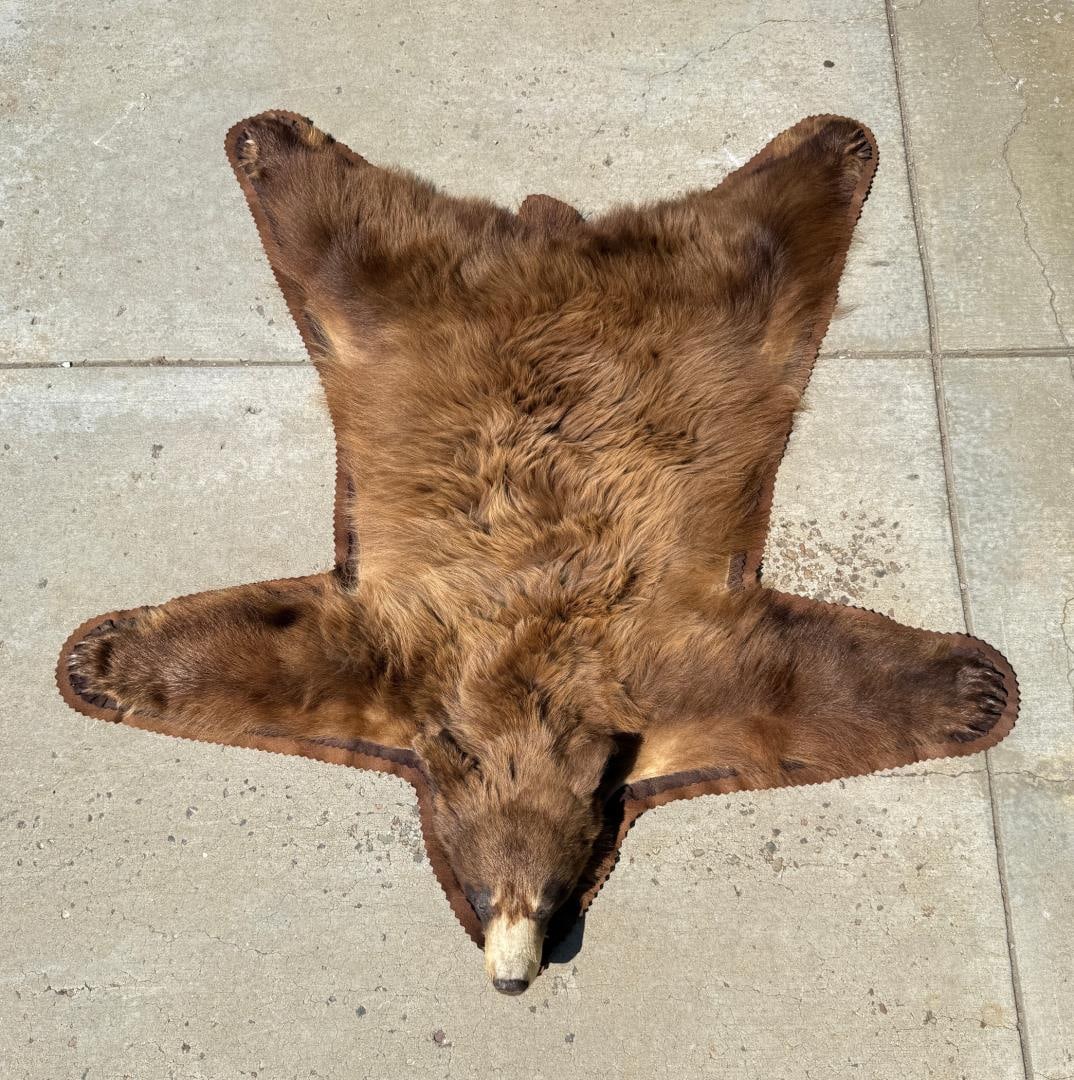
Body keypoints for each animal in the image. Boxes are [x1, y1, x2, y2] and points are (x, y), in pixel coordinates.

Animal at [62, 112, 1017, 994]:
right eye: (488, 897)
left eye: (549, 897)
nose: (512, 976)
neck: (528, 696)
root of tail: (550, 240)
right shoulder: (395, 653)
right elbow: (280, 656)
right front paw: (100, 661)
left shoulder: (676, 671)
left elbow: (795, 682)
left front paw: (972, 690)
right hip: (384, 297)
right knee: (343, 220)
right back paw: (270, 143)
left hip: (729, 301)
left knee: (766, 227)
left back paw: (833, 148)